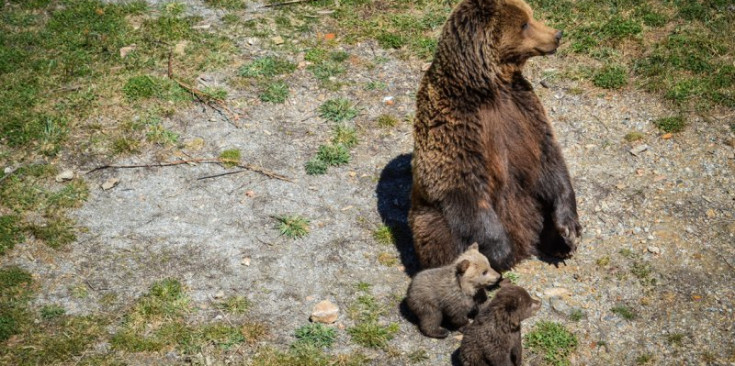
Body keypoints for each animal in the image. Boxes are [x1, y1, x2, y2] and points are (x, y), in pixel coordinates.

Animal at [408, 0, 580, 272]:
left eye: (530, 15)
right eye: (525, 24)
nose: (557, 34)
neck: (487, 86)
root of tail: (527, 243)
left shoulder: (524, 110)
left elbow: (549, 158)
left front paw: (568, 229)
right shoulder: (455, 122)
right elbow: (460, 183)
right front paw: (500, 252)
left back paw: (561, 244)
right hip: (428, 215)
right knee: (435, 229)